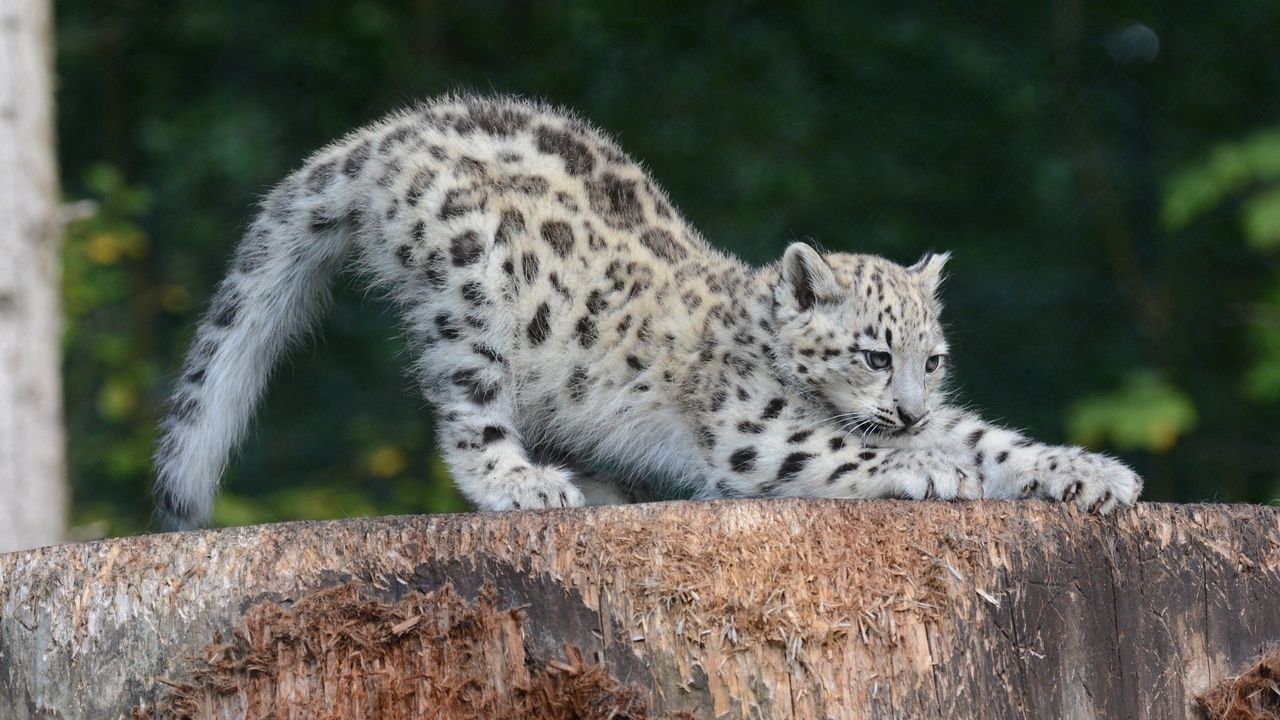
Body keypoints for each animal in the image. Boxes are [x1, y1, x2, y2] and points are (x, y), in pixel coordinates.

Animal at [149, 94, 1141, 527]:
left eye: (930, 360)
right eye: (870, 353)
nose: (907, 408)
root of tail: (388, 130)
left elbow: (991, 438)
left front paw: (1089, 472)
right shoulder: (754, 431)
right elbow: (840, 449)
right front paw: (930, 468)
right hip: (468, 298)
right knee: (467, 417)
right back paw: (525, 484)